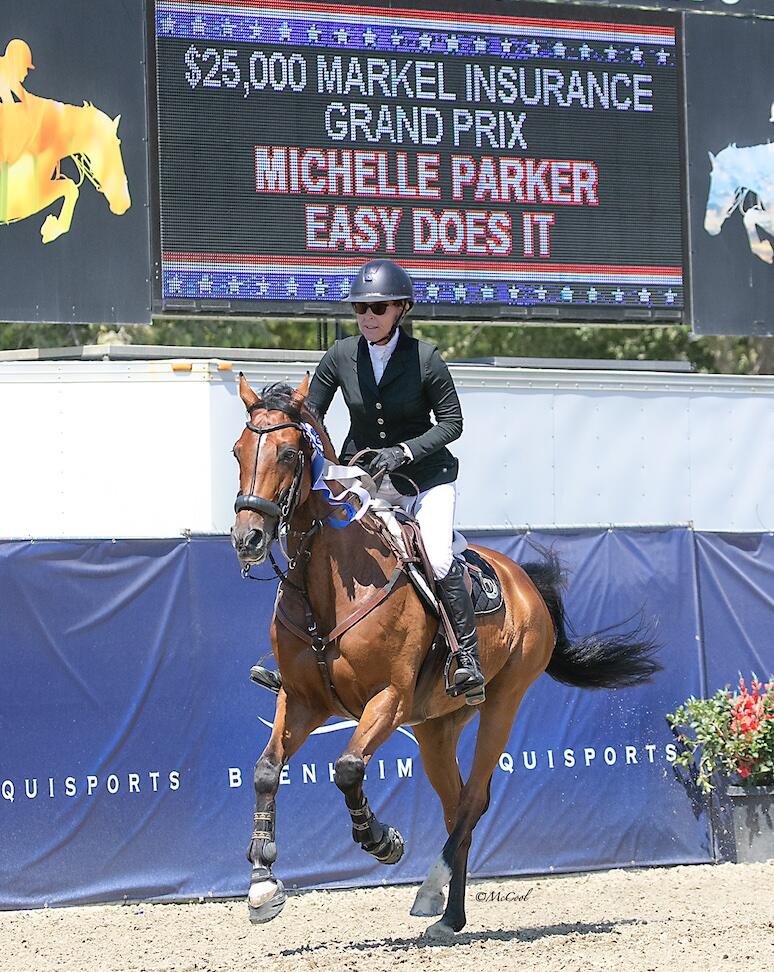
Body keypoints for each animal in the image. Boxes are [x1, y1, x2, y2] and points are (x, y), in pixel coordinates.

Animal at [232, 376, 660, 936]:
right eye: (237, 451)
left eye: (287, 453)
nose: (248, 538)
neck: (330, 582)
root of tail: (523, 580)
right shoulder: (304, 701)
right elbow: (266, 770)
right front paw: (262, 887)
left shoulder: (387, 699)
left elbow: (347, 768)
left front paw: (382, 842)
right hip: (436, 727)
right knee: (457, 805)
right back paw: (450, 915)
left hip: (502, 701)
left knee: (474, 799)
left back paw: (431, 891)